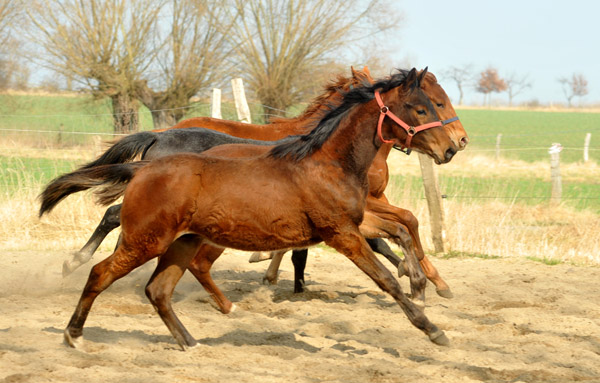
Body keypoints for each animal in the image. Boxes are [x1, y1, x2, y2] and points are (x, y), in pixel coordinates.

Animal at [41, 67, 454, 350]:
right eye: (421, 108)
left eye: (434, 104)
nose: (451, 147)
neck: (328, 163)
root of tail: (145, 165)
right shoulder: (342, 233)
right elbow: (385, 276)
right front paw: (432, 327)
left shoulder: (357, 221)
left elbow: (399, 231)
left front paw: (423, 285)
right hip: (148, 241)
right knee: (101, 272)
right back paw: (73, 332)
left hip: (182, 242)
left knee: (158, 289)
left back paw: (190, 341)